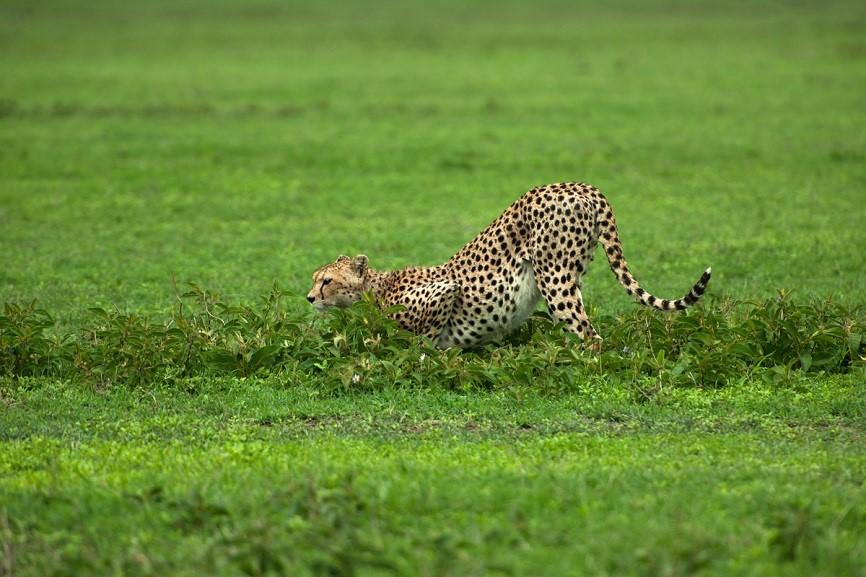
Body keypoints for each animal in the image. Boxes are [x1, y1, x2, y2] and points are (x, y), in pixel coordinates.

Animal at [306, 182, 708, 348]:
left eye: (326, 281)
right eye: (315, 279)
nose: (309, 298)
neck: (375, 288)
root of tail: (580, 185)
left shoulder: (446, 291)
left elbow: (423, 342)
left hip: (555, 279)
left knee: (590, 336)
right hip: (572, 273)